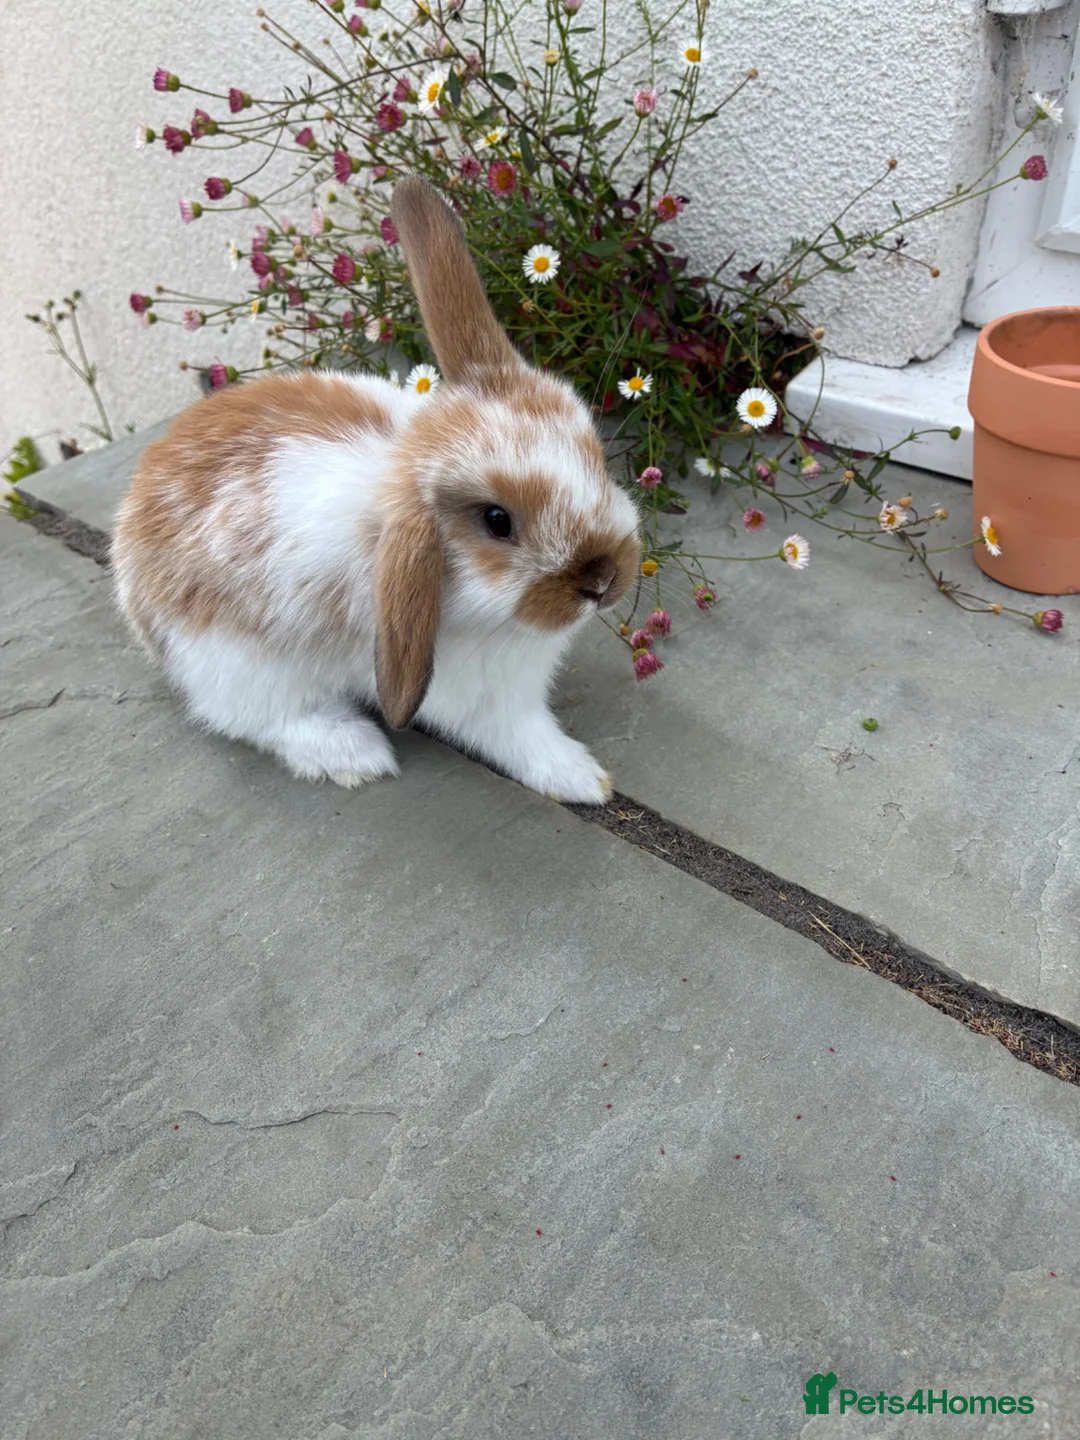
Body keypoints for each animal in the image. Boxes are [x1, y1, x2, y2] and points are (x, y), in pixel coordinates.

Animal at [112, 176, 641, 803]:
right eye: (497, 521)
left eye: (596, 457)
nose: (604, 580)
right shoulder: (483, 696)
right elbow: (522, 738)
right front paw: (583, 779)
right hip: (236, 667)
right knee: (258, 720)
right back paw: (353, 753)